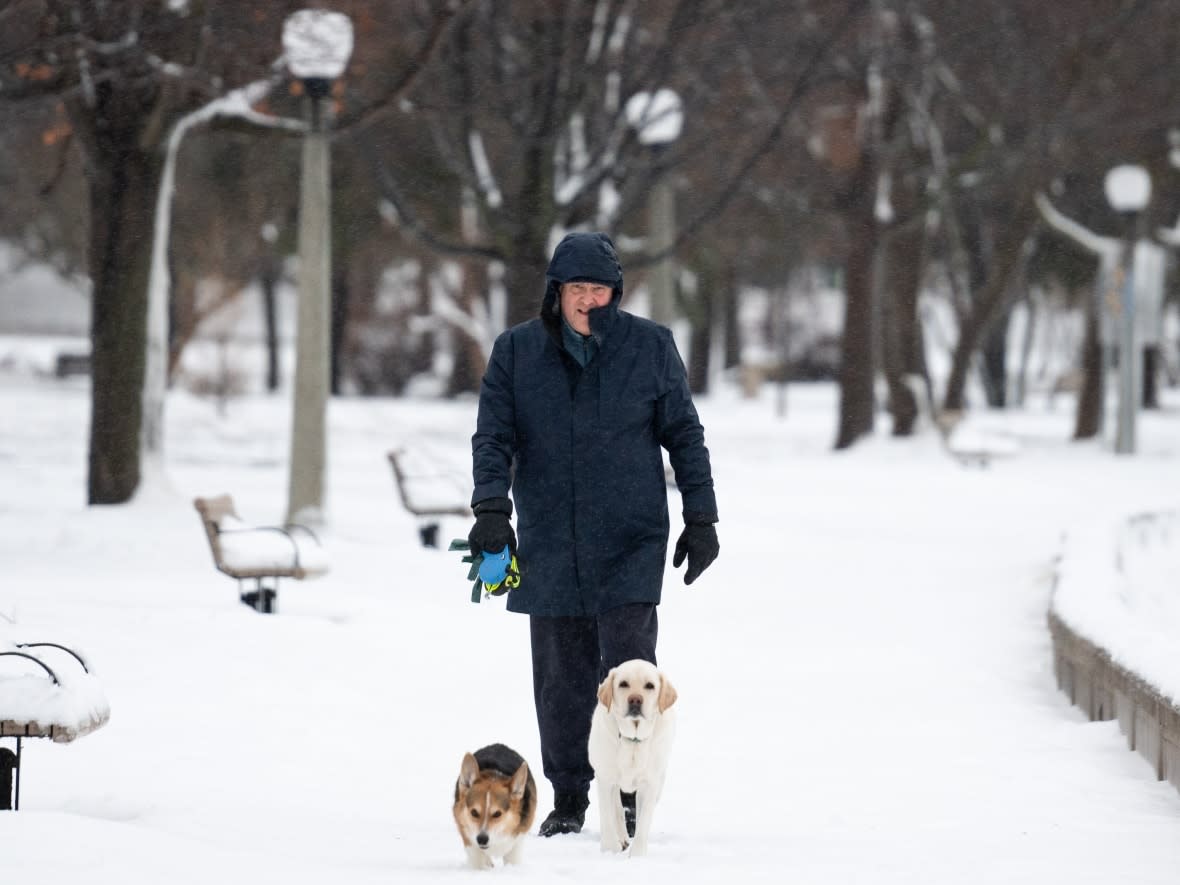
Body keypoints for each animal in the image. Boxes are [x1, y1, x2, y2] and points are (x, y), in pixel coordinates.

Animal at [453, 741, 538, 873]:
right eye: (474, 812)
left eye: (497, 814)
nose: (482, 839)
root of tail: (498, 744)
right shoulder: (468, 838)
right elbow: (477, 859)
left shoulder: (517, 840)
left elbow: (512, 859)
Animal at [587, 660, 679, 859]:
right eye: (623, 684)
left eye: (650, 686)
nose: (635, 700)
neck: (633, 740)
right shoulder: (605, 779)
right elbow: (608, 817)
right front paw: (609, 850)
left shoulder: (650, 784)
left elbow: (643, 822)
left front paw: (637, 855)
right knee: (616, 809)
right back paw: (620, 838)